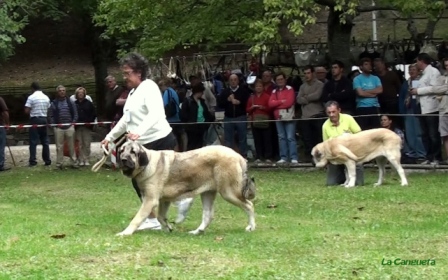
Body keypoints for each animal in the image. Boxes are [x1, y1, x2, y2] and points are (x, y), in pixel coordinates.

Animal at [114, 142, 256, 236]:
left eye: (133, 152)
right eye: (121, 150)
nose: (123, 159)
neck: (147, 164)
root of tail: (239, 156)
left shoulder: (150, 200)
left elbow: (137, 218)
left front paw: (125, 233)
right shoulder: (164, 200)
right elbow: (160, 216)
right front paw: (167, 228)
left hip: (228, 192)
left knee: (249, 205)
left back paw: (251, 227)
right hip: (208, 193)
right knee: (208, 215)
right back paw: (197, 231)